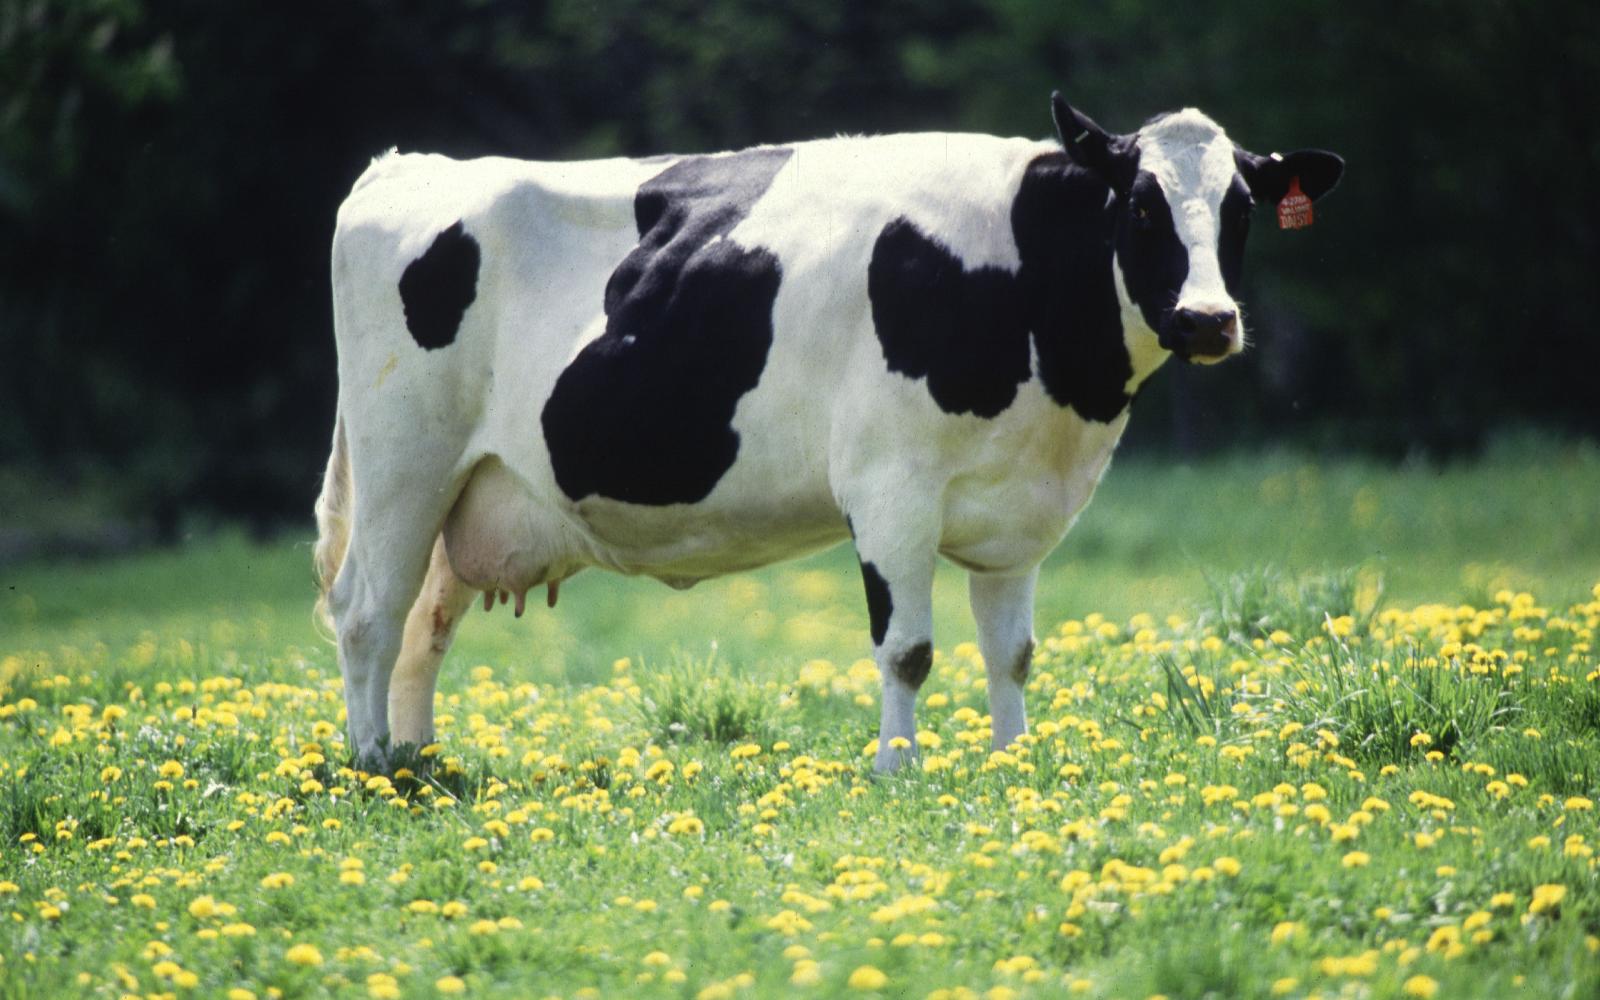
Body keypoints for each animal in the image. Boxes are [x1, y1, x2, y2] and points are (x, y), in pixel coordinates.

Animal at [313, 94, 1343, 772]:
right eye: (1140, 204)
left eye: (1241, 209)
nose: (1208, 320)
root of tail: (406, 166)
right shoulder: (891, 487)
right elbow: (909, 648)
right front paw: (898, 770)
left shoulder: (1019, 512)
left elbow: (1011, 651)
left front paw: (1013, 763)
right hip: (404, 461)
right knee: (368, 611)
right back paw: (373, 767)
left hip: (469, 489)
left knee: (424, 624)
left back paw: (420, 761)